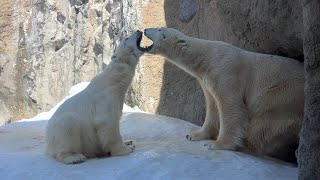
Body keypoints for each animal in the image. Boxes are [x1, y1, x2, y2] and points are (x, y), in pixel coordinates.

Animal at [45, 31, 145, 165]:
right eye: (127, 38)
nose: (139, 31)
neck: (114, 81)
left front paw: (128, 143)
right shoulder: (105, 98)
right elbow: (107, 121)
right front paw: (125, 149)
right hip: (60, 130)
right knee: (68, 124)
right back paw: (75, 157)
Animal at [144, 27, 304, 162]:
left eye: (160, 29)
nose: (145, 29)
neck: (206, 57)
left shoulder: (226, 71)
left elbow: (231, 106)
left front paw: (217, 144)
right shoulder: (207, 80)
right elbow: (212, 106)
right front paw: (194, 135)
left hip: (284, 93)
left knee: (264, 122)